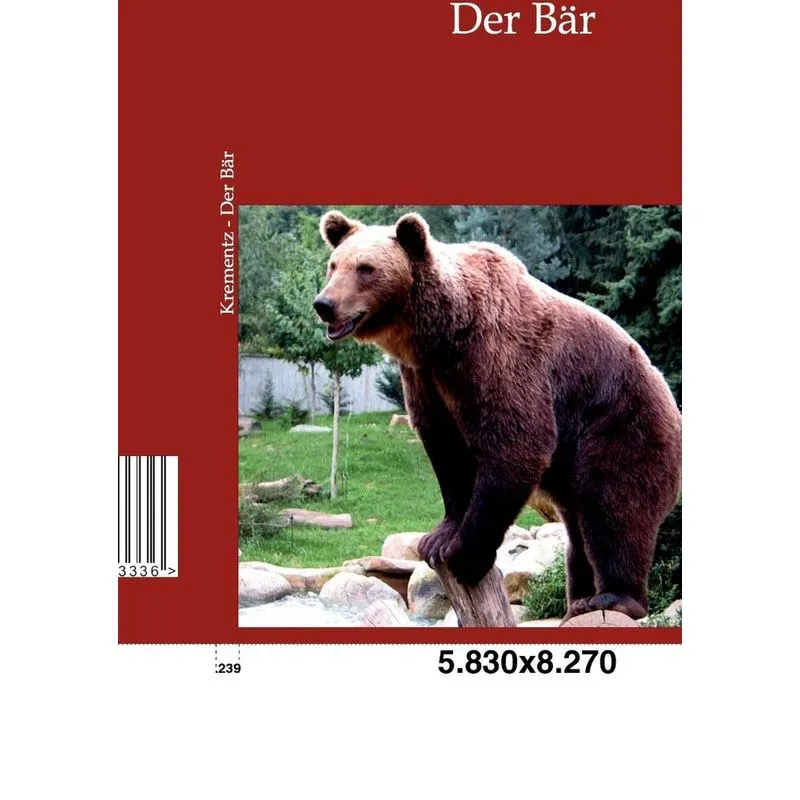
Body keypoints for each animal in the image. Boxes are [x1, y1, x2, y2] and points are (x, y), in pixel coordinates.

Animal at [314, 210, 682, 621]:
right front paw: (437, 538)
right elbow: (446, 450)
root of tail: (672, 403)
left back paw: (613, 598)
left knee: (614, 510)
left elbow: (516, 444)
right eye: (334, 265)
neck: (442, 334)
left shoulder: (497, 357)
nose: (324, 304)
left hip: (621, 426)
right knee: (578, 527)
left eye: (366, 268)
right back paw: (579, 600)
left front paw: (464, 553)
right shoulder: (427, 378)